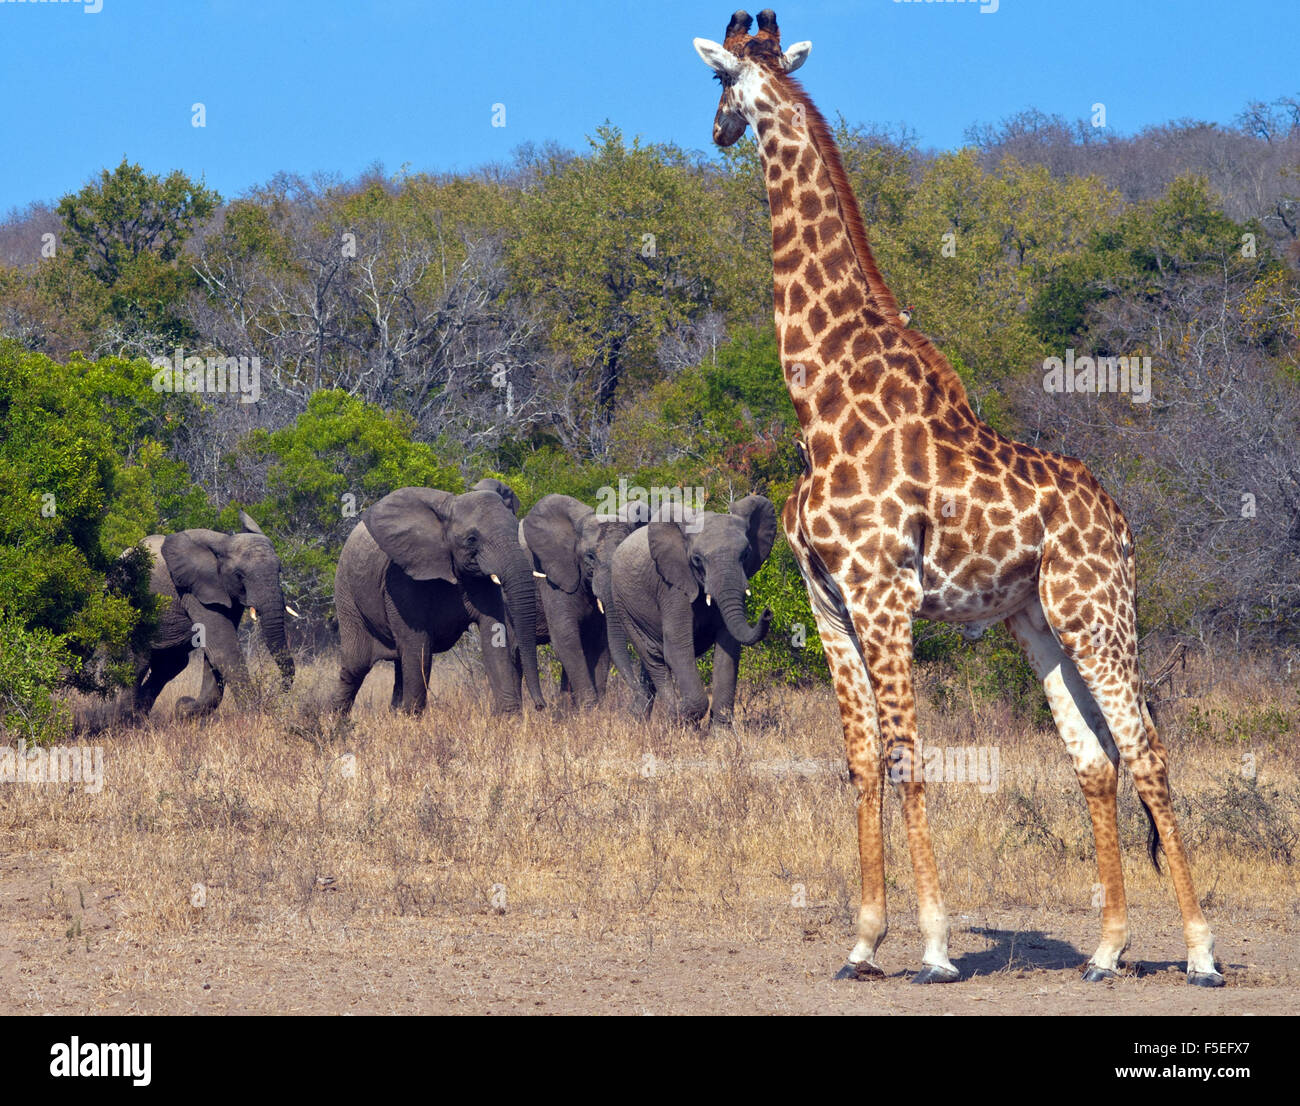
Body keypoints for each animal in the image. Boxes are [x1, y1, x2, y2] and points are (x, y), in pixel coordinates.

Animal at [127, 512, 297, 722]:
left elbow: (213, 654)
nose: (279, 692)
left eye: (279, 570)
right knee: (138, 663)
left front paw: (184, 709)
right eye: (239, 575)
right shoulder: (193, 591)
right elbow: (224, 649)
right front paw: (255, 717)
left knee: (169, 665)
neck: (224, 542)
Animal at [332, 483, 546, 717]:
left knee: (398, 665)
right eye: (471, 539)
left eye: (516, 530)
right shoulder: (400, 578)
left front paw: (510, 719)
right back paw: (334, 721)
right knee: (356, 665)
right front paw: (411, 720)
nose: (540, 705)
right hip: (346, 593)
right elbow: (418, 648)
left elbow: (495, 638)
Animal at [520, 496, 650, 707]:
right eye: (590, 556)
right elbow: (566, 636)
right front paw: (589, 708)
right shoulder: (553, 577)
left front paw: (595, 710)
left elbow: (598, 641)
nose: (638, 691)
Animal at [605, 496, 774, 727]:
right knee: (653, 656)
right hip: (623, 604)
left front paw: (720, 734)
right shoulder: (673, 587)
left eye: (746, 554)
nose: (767, 612)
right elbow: (677, 647)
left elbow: (728, 648)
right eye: (696, 559)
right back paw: (671, 715)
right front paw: (682, 717)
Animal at [696, 10, 1222, 987]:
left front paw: (935, 947)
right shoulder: (829, 601)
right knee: (1094, 759)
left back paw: (1203, 953)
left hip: (1097, 612)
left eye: (718, 83)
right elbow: (861, 759)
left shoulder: (883, 594)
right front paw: (862, 943)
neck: (819, 402)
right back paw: (1105, 953)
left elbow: (908, 754)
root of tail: (1122, 524)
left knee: (1147, 750)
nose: (716, 133)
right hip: (1036, 620)